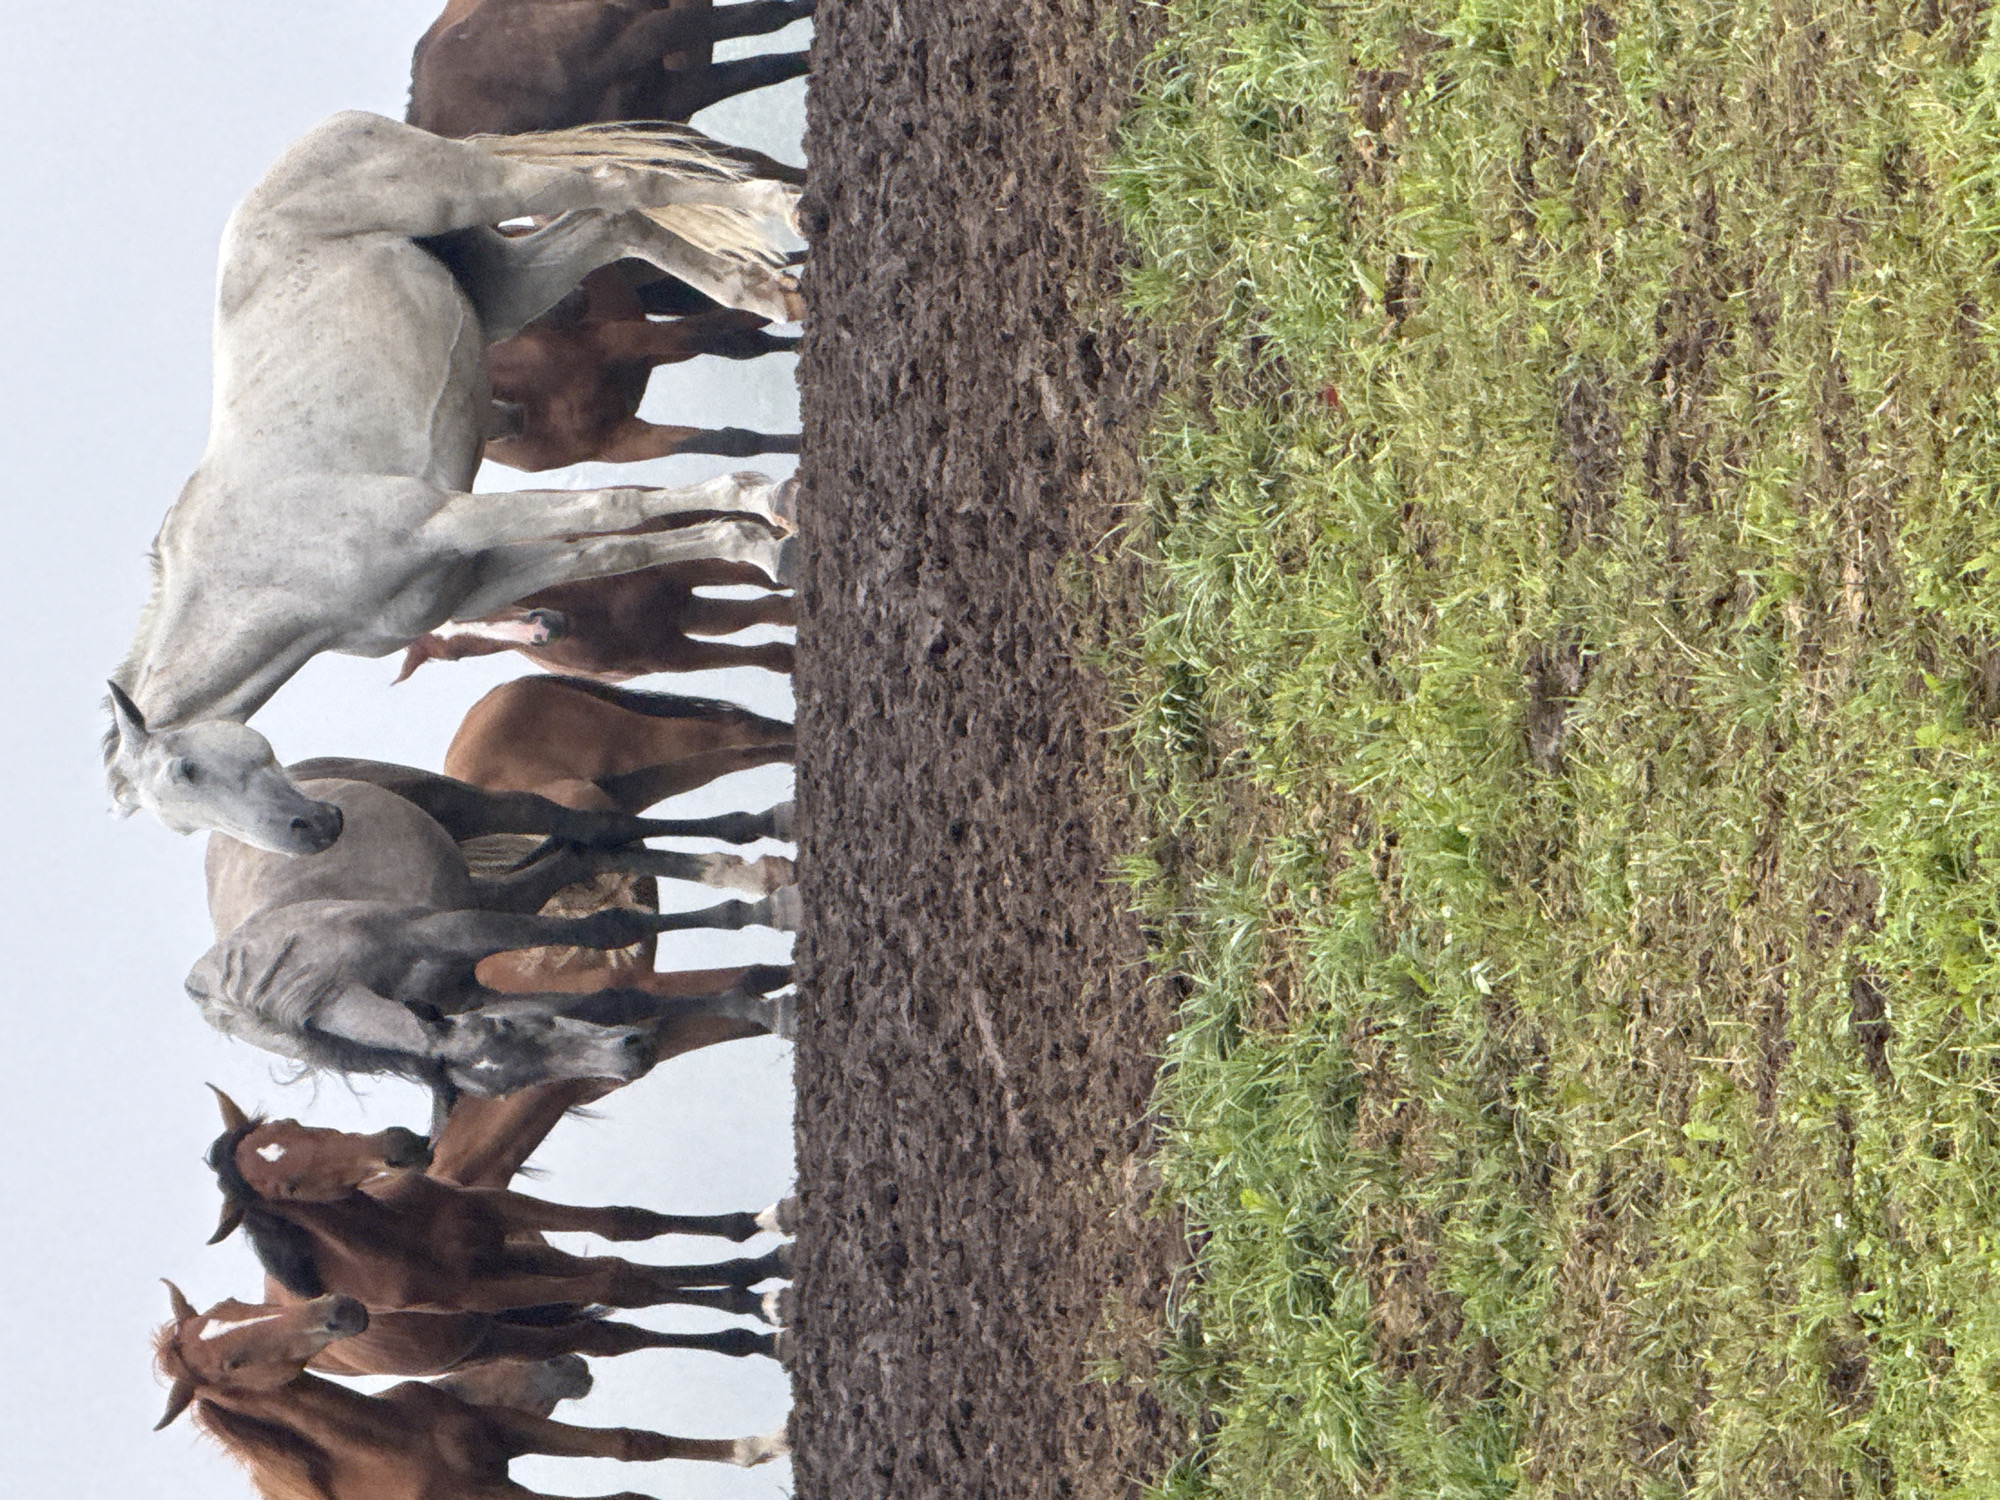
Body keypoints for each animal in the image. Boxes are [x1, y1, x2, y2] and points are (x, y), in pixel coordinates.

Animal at [153, 1283, 789, 1498]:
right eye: (232, 1361)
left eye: (237, 1307)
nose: (341, 1309)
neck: (381, 1447)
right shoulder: (488, 1495)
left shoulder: (507, 1433)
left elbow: (633, 1444)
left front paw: (764, 1444)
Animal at [204, 1090, 792, 1318]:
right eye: (289, 1187)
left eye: (291, 1123)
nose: (400, 1145)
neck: (395, 1239)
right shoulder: (486, 1293)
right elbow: (620, 1284)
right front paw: (757, 1296)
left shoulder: (497, 1210)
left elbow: (623, 1225)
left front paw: (755, 1230)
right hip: (513, 1268)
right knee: (619, 1274)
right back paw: (753, 1292)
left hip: (517, 1252)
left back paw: (757, 1270)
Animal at [397, 557, 794, 681]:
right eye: (457, 655)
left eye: (464, 599)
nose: (541, 630)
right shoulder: (670, 653)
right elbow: (765, 653)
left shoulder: (677, 577)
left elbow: (753, 573)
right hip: (685, 617)